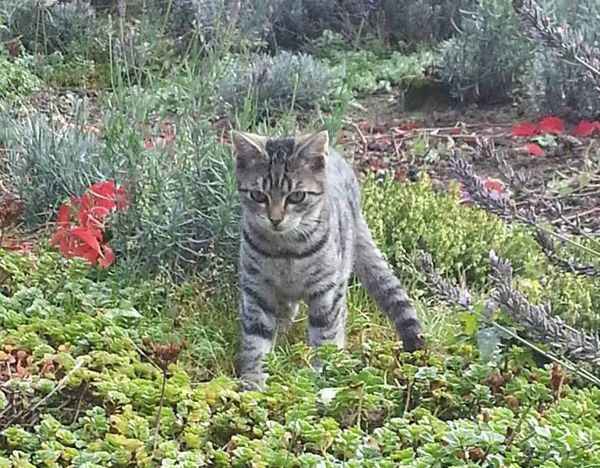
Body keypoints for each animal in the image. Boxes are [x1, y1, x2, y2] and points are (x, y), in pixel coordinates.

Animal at [232, 130, 424, 390]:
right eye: (258, 195)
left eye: (296, 196)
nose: (275, 219)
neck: (285, 252)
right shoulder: (256, 289)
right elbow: (256, 340)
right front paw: (253, 383)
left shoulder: (326, 292)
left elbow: (325, 338)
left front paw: (321, 377)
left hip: (339, 277)